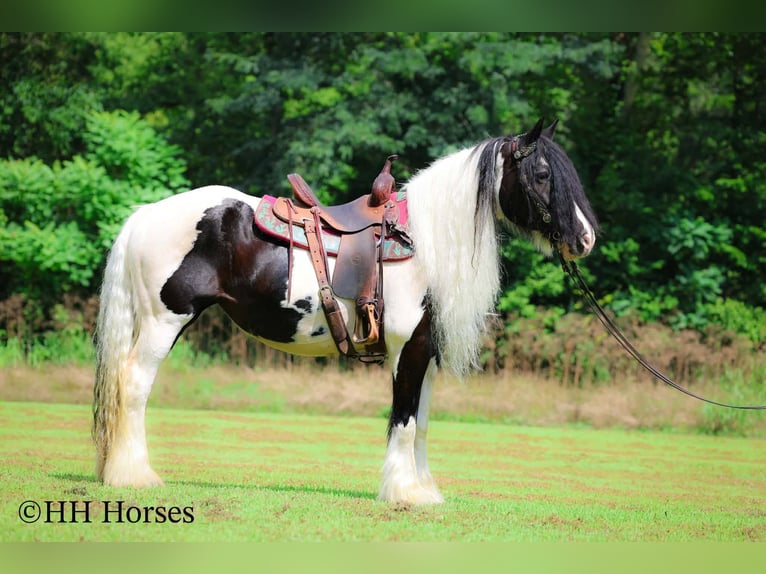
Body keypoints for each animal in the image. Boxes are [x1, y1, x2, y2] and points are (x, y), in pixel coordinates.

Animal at [92, 118, 598, 504]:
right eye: (542, 174)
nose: (586, 239)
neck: (423, 242)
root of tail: (145, 215)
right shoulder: (406, 350)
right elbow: (404, 420)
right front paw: (404, 493)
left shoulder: (425, 352)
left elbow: (422, 420)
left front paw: (424, 490)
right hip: (164, 322)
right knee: (133, 386)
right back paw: (135, 475)